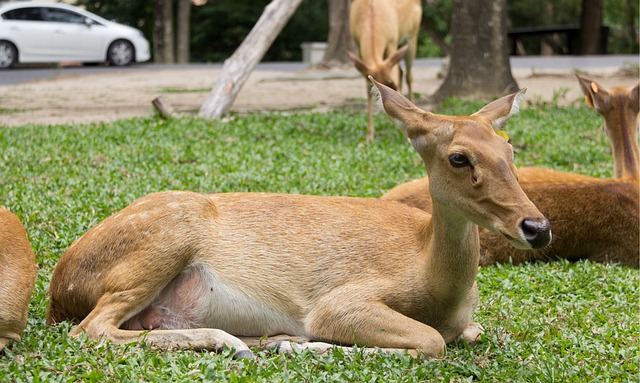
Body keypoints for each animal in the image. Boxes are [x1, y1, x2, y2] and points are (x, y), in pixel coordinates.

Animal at [47, 78, 552, 360]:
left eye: (509, 149)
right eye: (458, 157)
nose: (537, 227)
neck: (434, 285)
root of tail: (58, 289)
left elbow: (468, 332)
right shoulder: (340, 300)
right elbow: (432, 342)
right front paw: (323, 346)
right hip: (163, 239)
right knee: (90, 329)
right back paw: (242, 342)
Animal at [348, 0, 422, 142]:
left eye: (394, 86)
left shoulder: (392, 41)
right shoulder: (357, 46)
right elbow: (367, 90)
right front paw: (369, 136)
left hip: (413, 34)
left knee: (408, 75)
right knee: (402, 71)